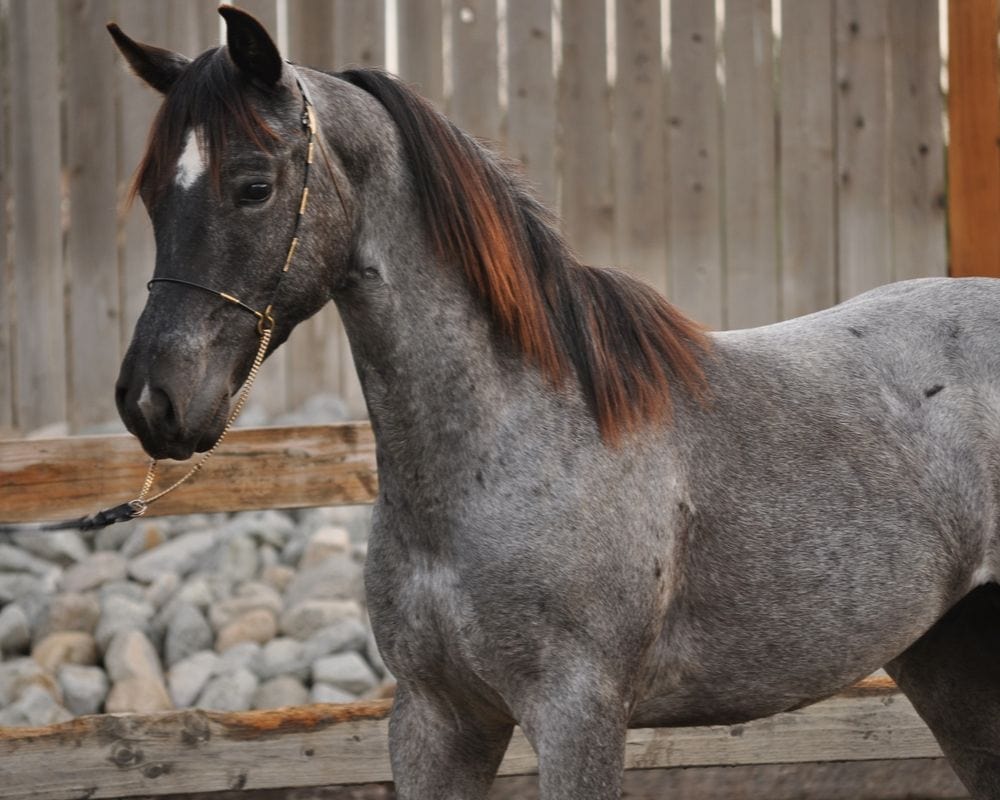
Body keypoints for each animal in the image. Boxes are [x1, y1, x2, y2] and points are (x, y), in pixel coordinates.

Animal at [107, 7, 1000, 800]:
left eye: (253, 186)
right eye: (150, 196)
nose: (152, 400)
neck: (515, 431)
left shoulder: (578, 717)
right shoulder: (437, 720)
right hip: (946, 657)